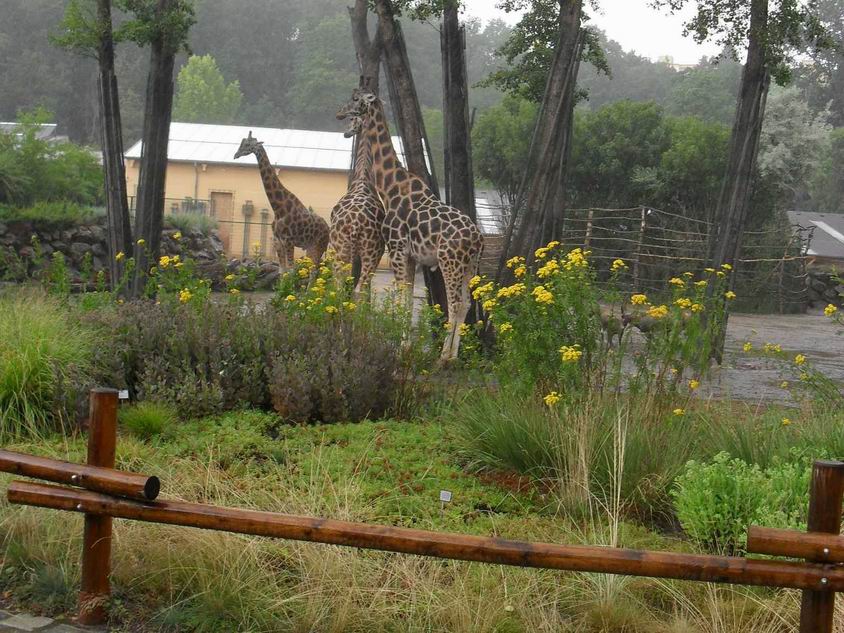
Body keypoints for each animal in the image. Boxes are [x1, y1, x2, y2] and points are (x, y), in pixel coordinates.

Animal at [237, 132, 332, 270]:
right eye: (242, 142)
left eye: (247, 144)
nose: (236, 155)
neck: (278, 208)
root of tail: (328, 229)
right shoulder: (278, 241)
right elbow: (282, 270)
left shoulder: (289, 241)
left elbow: (291, 270)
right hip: (310, 247)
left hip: (319, 246)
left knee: (315, 270)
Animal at [328, 116, 388, 294]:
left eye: (352, 121)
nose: (346, 133)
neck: (363, 176)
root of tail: (355, 225)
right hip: (367, 254)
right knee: (358, 288)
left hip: (346, 252)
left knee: (345, 288)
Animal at [334, 91, 482, 362]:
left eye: (355, 100)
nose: (340, 114)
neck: (390, 187)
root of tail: (478, 239)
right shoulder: (412, 256)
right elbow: (407, 298)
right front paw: (405, 345)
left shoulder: (396, 250)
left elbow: (402, 298)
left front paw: (402, 347)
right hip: (470, 265)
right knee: (466, 303)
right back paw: (453, 355)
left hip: (450, 262)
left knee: (455, 303)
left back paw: (443, 356)